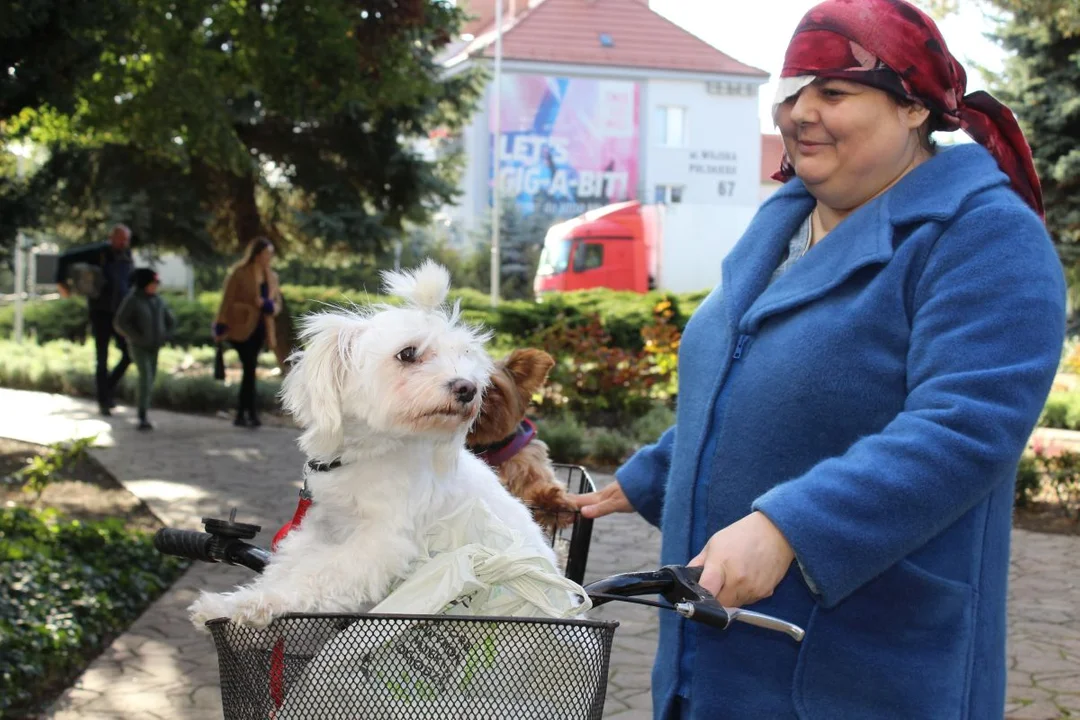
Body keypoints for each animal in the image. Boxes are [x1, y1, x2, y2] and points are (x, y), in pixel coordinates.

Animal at [190, 262, 557, 626]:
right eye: (408, 353)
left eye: (465, 355)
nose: (468, 388)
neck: (369, 454)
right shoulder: (322, 529)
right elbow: (285, 568)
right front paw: (227, 605)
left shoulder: (379, 543)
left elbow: (315, 576)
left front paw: (253, 604)